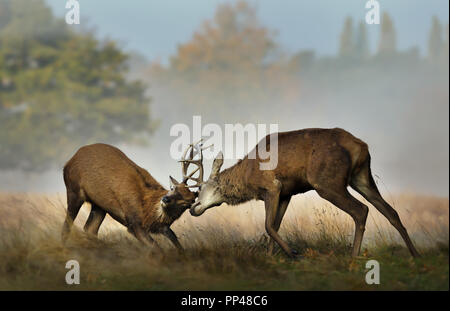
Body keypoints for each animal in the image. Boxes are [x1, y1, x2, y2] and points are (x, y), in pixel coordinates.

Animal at [61, 143, 202, 252]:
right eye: (173, 188)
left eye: (187, 202)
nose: (165, 199)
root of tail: (69, 161)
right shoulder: (133, 222)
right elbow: (158, 250)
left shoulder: (162, 227)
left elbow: (177, 244)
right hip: (73, 190)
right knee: (67, 225)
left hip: (100, 205)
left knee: (89, 229)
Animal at [188, 129, 420, 258]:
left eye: (199, 189)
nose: (192, 208)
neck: (247, 177)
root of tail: (360, 146)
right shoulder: (286, 193)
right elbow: (275, 225)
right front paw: (271, 256)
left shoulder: (272, 186)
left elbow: (268, 225)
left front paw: (293, 253)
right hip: (362, 177)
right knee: (391, 212)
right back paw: (415, 254)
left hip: (327, 182)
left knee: (361, 210)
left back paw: (353, 257)